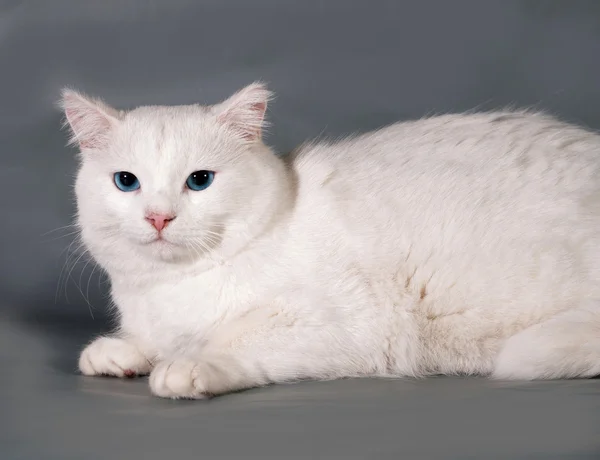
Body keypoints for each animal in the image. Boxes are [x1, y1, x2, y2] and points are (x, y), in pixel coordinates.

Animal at [62, 82, 600, 398]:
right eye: (126, 182)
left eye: (199, 181)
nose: (158, 217)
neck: (172, 289)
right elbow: (146, 340)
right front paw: (121, 352)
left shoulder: (345, 327)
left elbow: (236, 340)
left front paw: (188, 365)